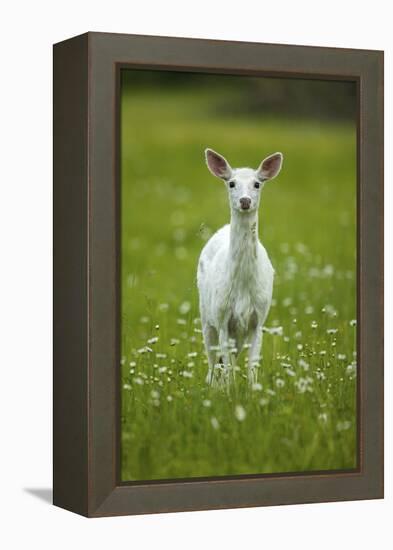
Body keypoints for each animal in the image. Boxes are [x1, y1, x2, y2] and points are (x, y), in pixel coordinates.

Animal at [198, 148, 284, 388]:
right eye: (231, 183)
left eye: (257, 184)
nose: (245, 201)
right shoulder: (222, 317)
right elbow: (226, 366)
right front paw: (229, 391)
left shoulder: (259, 318)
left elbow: (252, 365)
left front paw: (252, 392)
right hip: (206, 314)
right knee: (212, 360)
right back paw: (212, 386)